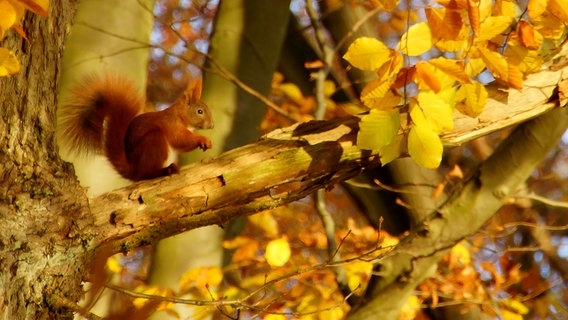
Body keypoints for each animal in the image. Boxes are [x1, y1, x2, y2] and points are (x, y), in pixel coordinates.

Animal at [58, 73, 213, 181]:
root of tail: (133, 169)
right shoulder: (171, 125)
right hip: (154, 141)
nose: (211, 125)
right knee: (145, 174)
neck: (180, 116)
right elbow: (179, 139)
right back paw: (165, 170)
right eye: (200, 111)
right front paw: (203, 139)